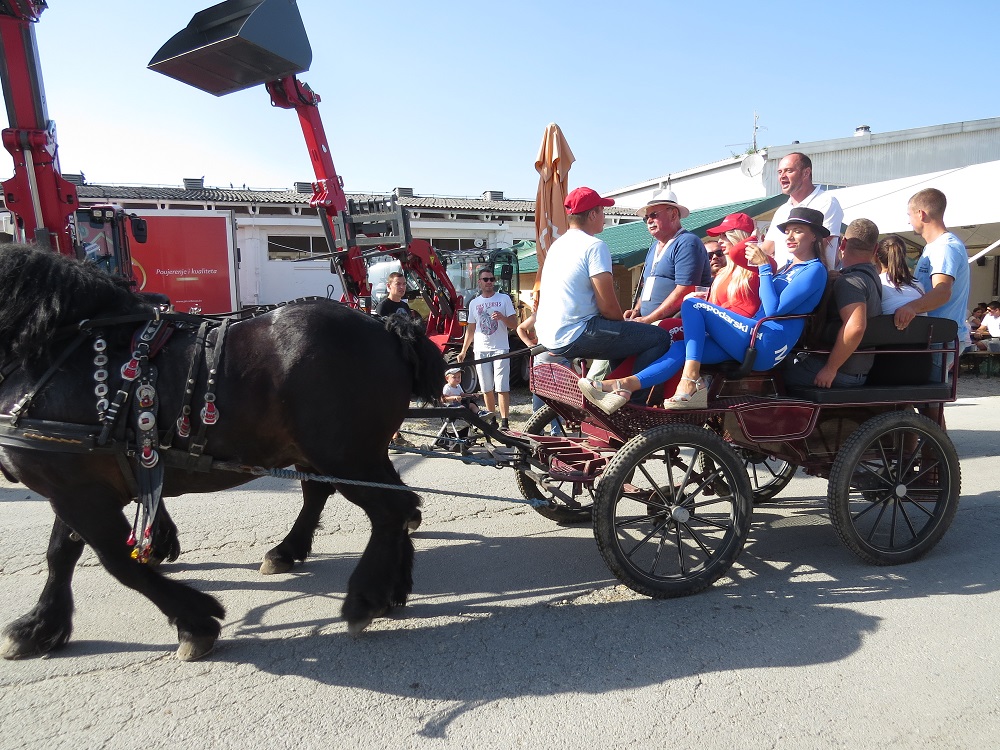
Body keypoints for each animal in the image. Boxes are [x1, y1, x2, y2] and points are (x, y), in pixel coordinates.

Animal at [0, 244, 446, 660]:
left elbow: (117, 561)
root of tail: (386, 325)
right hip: (345, 453)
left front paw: (195, 622)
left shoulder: (77, 489)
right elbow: (62, 553)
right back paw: (365, 577)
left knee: (389, 509)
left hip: (344, 455)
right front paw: (39, 625)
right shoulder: (71, 484)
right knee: (381, 502)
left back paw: (364, 597)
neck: (59, 349)